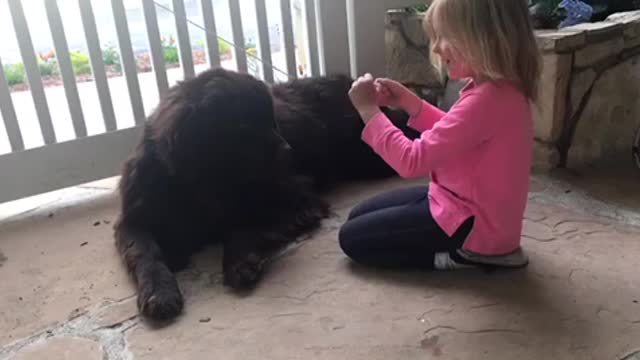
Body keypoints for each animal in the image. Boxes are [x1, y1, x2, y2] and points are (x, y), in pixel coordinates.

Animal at [115, 67, 420, 320]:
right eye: (243, 127)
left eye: (271, 120)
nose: (288, 151)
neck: (206, 182)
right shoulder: (133, 220)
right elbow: (144, 252)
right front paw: (159, 290)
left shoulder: (297, 199)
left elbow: (245, 225)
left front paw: (239, 261)